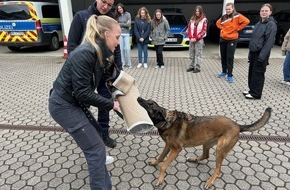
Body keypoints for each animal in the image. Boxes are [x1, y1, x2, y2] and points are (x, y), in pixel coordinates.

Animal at [137, 97, 272, 189]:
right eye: (149, 100)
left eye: (150, 104)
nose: (139, 98)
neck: (167, 120)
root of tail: (237, 125)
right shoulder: (168, 146)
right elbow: (161, 157)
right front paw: (155, 162)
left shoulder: (176, 150)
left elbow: (164, 165)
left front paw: (160, 179)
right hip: (206, 143)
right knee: (206, 156)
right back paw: (194, 159)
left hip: (220, 149)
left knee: (218, 169)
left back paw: (210, 181)